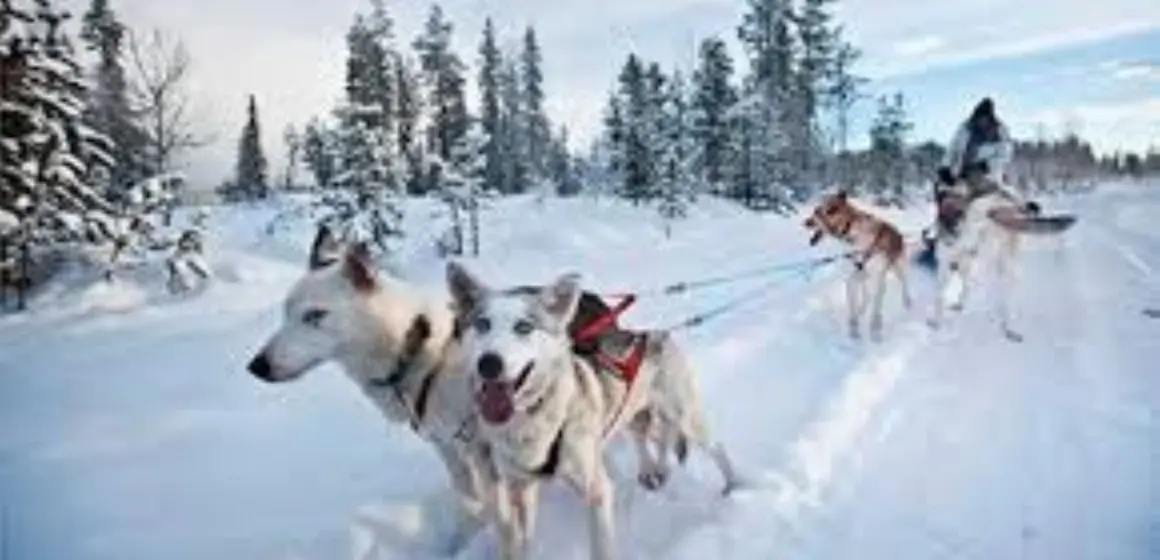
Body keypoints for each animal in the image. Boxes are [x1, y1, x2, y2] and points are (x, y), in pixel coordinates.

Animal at [245, 228, 494, 556]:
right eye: (285, 313)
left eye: (315, 315)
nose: (256, 367)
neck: (414, 350)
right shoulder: (448, 447)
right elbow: (469, 503)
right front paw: (458, 543)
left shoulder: (481, 449)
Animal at [447, 263, 737, 560]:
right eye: (482, 324)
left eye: (524, 327)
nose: (488, 363)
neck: (534, 417)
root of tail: (653, 335)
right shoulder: (521, 490)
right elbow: (520, 542)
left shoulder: (597, 492)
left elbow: (601, 548)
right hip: (632, 414)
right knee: (648, 439)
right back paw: (653, 469)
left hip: (686, 417)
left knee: (714, 447)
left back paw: (734, 490)